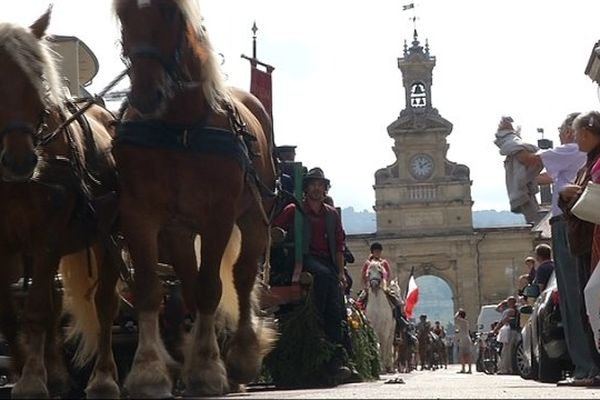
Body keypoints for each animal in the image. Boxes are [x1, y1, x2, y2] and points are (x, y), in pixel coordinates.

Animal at [0, 9, 120, 400]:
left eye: (38, 79)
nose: (20, 162)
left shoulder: (47, 236)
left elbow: (36, 309)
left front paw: (31, 381)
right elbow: (11, 315)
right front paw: (26, 370)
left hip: (110, 236)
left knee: (104, 305)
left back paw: (103, 378)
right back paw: (58, 376)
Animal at [112, 0, 276, 396]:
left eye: (171, 13)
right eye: (123, 14)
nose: (146, 95)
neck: (179, 127)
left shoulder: (218, 216)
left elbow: (211, 287)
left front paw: (206, 368)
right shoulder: (139, 215)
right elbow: (149, 289)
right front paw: (150, 372)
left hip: (254, 216)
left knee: (243, 276)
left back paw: (241, 356)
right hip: (179, 231)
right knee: (187, 283)